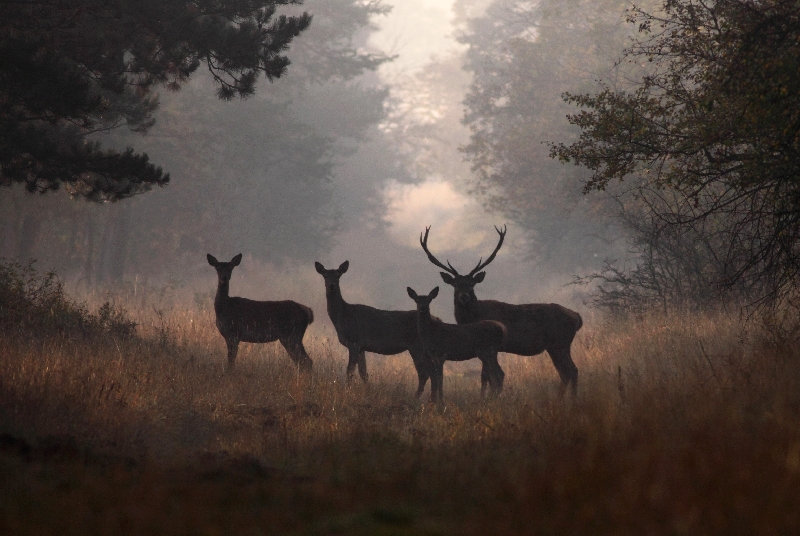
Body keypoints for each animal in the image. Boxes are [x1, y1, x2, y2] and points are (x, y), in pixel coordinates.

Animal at [314, 262, 434, 396]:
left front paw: (347, 390)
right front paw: (367, 390)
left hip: (417, 346)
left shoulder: (354, 341)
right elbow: (363, 372)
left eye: (338, 275)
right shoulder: (361, 347)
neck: (343, 317)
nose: (332, 285)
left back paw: (416, 396)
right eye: (325, 275)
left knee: (424, 373)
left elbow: (350, 370)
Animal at [418, 224, 580, 396]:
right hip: (559, 345)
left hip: (559, 343)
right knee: (570, 371)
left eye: (472, 284)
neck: (472, 317)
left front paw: (485, 396)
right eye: (455, 284)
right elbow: (487, 376)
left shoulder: (487, 346)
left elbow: (486, 376)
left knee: (569, 371)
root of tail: (577, 317)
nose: (464, 296)